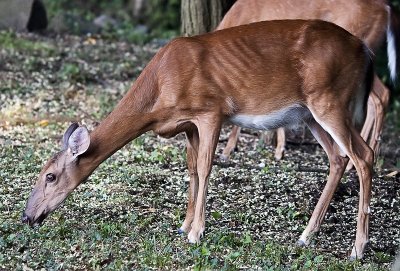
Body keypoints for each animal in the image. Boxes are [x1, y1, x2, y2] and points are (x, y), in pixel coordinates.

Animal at [24, 19, 376, 260]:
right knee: (338, 158)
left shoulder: (210, 110)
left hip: (330, 99)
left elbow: (206, 167)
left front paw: (196, 232)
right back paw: (306, 235)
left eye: (50, 176)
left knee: (364, 156)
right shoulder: (188, 123)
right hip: (310, 113)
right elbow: (192, 169)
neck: (159, 91)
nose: (28, 216)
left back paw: (357, 249)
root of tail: (365, 49)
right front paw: (183, 225)